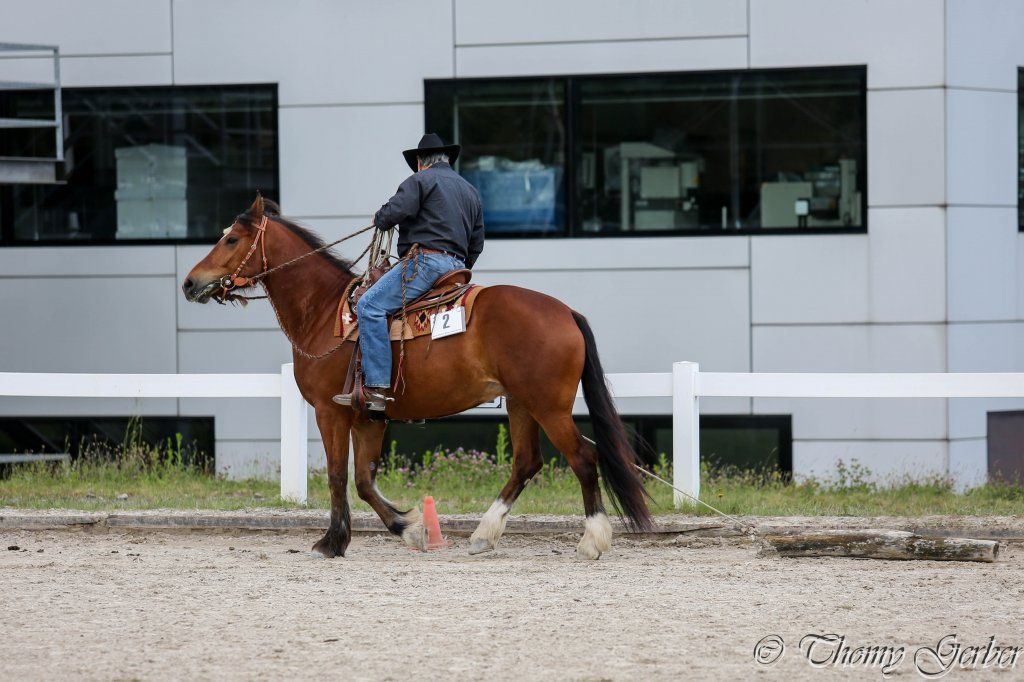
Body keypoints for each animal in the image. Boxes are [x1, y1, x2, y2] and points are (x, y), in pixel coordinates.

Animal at [182, 195, 653, 559]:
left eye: (231, 238)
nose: (190, 283)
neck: (325, 311)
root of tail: (565, 312)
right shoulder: (368, 417)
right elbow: (364, 480)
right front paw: (409, 527)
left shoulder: (329, 413)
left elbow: (337, 476)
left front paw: (331, 543)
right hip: (521, 404)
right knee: (526, 462)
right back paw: (484, 534)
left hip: (548, 406)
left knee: (583, 458)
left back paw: (592, 540)